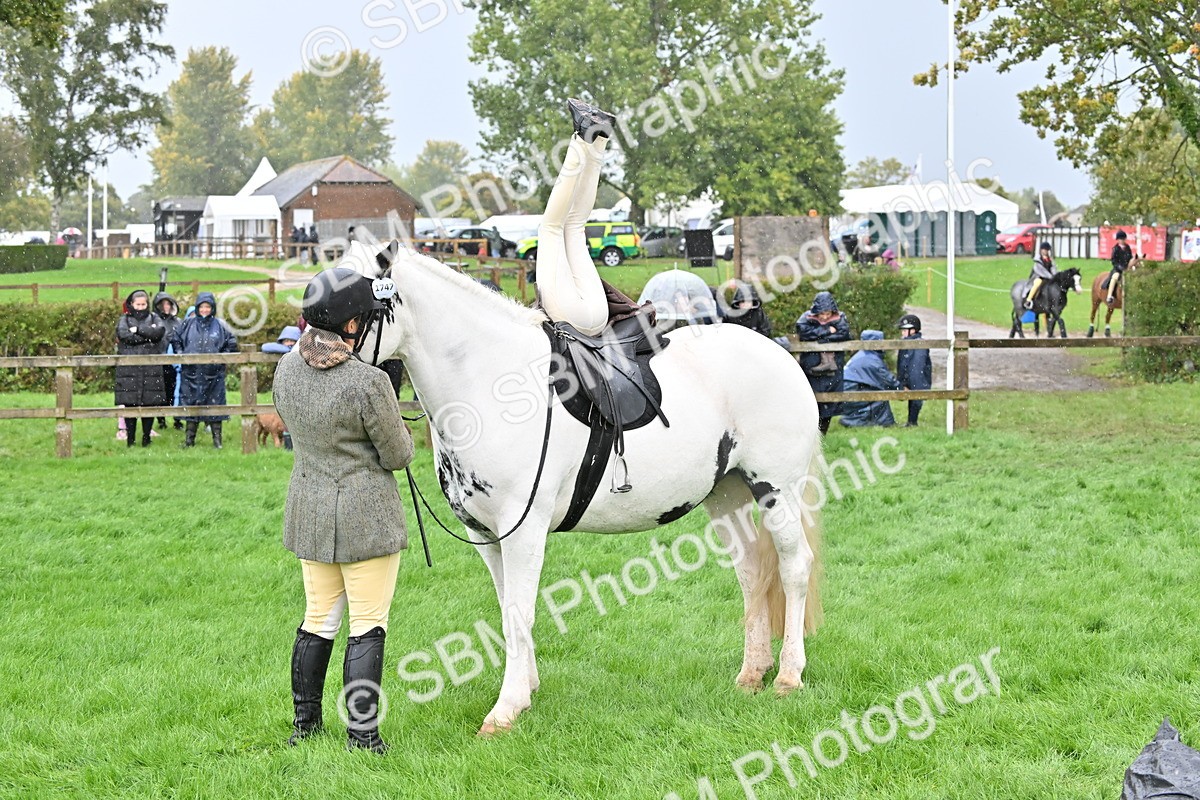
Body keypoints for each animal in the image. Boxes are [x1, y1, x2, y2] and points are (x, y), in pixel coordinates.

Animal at [343, 240, 824, 735]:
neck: (492, 383)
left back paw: (788, 675)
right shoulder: (487, 536)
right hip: (727, 495)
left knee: (794, 568)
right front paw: (526, 688)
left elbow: (519, 612)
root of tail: (782, 357)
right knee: (751, 573)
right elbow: (507, 608)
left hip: (776, 489)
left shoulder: (524, 531)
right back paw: (752, 673)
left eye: (352, 305)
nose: (319, 351)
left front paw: (506, 708)